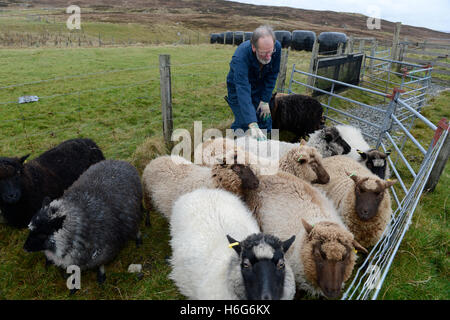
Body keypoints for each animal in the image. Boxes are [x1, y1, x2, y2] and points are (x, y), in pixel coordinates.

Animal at [23, 160, 142, 288]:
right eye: (30, 229)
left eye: (42, 233)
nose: (25, 248)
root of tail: (120, 161)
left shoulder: (103, 251)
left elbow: (100, 265)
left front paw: (101, 278)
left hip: (134, 213)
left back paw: (138, 241)